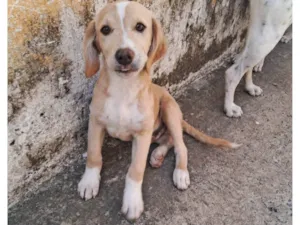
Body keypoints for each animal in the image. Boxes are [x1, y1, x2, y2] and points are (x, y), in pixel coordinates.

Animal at [79, 0, 239, 221]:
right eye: (105, 29)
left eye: (140, 27)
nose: (124, 56)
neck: (124, 87)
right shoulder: (95, 122)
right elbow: (94, 155)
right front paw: (89, 182)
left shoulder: (142, 134)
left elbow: (136, 169)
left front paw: (132, 202)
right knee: (168, 140)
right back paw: (157, 155)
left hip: (169, 111)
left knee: (181, 145)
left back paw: (180, 173)